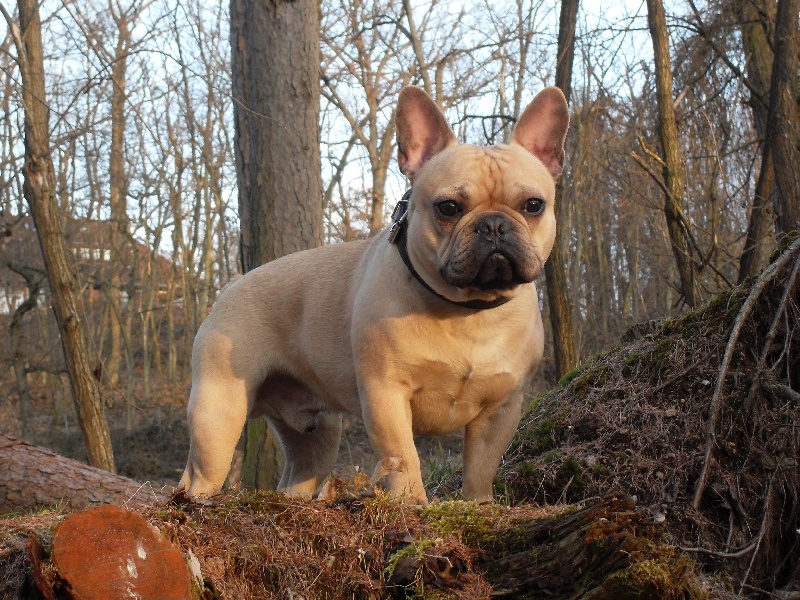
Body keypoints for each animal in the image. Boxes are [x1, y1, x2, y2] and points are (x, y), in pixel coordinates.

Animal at [180, 84, 568, 504]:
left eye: (533, 205)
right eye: (448, 207)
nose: (493, 224)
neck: (469, 310)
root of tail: (229, 288)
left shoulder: (501, 409)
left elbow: (481, 467)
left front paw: (479, 504)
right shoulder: (386, 393)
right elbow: (402, 455)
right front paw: (412, 503)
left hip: (318, 430)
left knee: (300, 472)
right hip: (219, 410)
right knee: (200, 472)